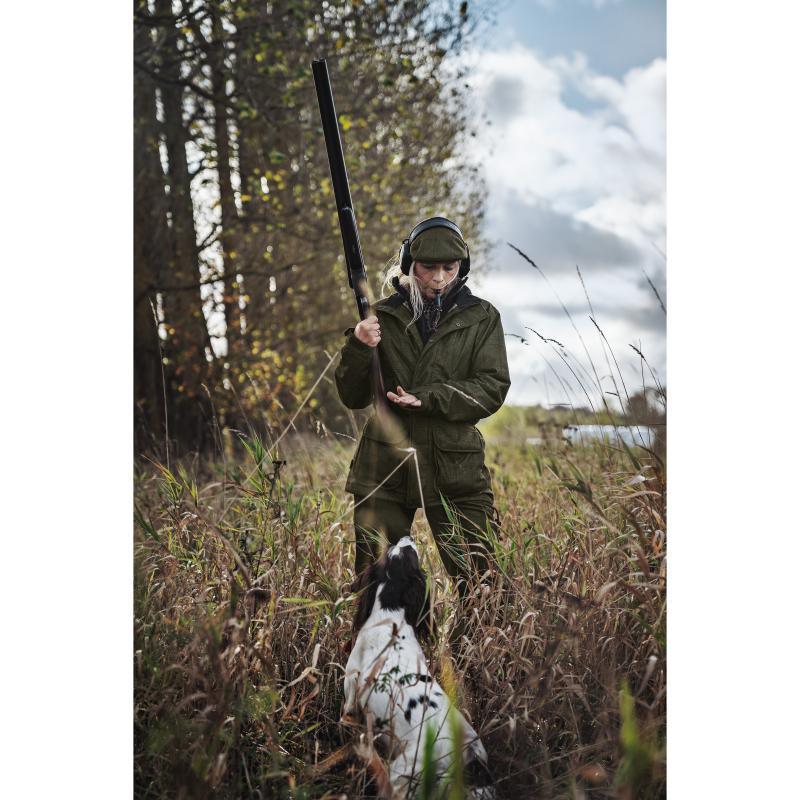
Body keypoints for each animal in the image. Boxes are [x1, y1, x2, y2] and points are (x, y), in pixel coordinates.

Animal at [344, 536, 494, 796]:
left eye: (410, 552)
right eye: (397, 548)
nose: (408, 537)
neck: (390, 616)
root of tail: (468, 755)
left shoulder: (351, 697)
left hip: (402, 771)